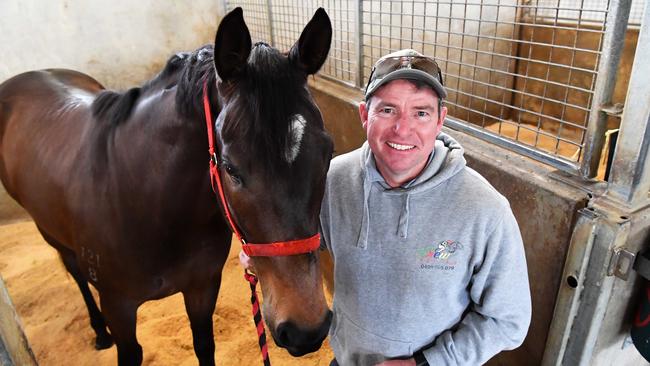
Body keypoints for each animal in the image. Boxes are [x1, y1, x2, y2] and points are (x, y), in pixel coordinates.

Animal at [0, 6, 332, 366]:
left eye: (327, 153)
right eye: (231, 168)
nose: (306, 329)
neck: (145, 201)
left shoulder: (202, 288)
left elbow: (204, 344)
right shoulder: (118, 308)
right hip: (51, 233)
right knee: (74, 272)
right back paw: (99, 332)